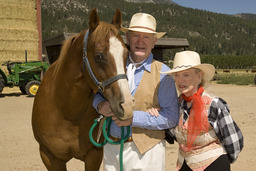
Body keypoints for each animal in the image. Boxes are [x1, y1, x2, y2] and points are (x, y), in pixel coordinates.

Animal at [32, 8, 134, 170]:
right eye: (99, 56)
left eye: (126, 54)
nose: (127, 105)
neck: (66, 111)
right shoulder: (50, 157)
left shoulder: (94, 154)